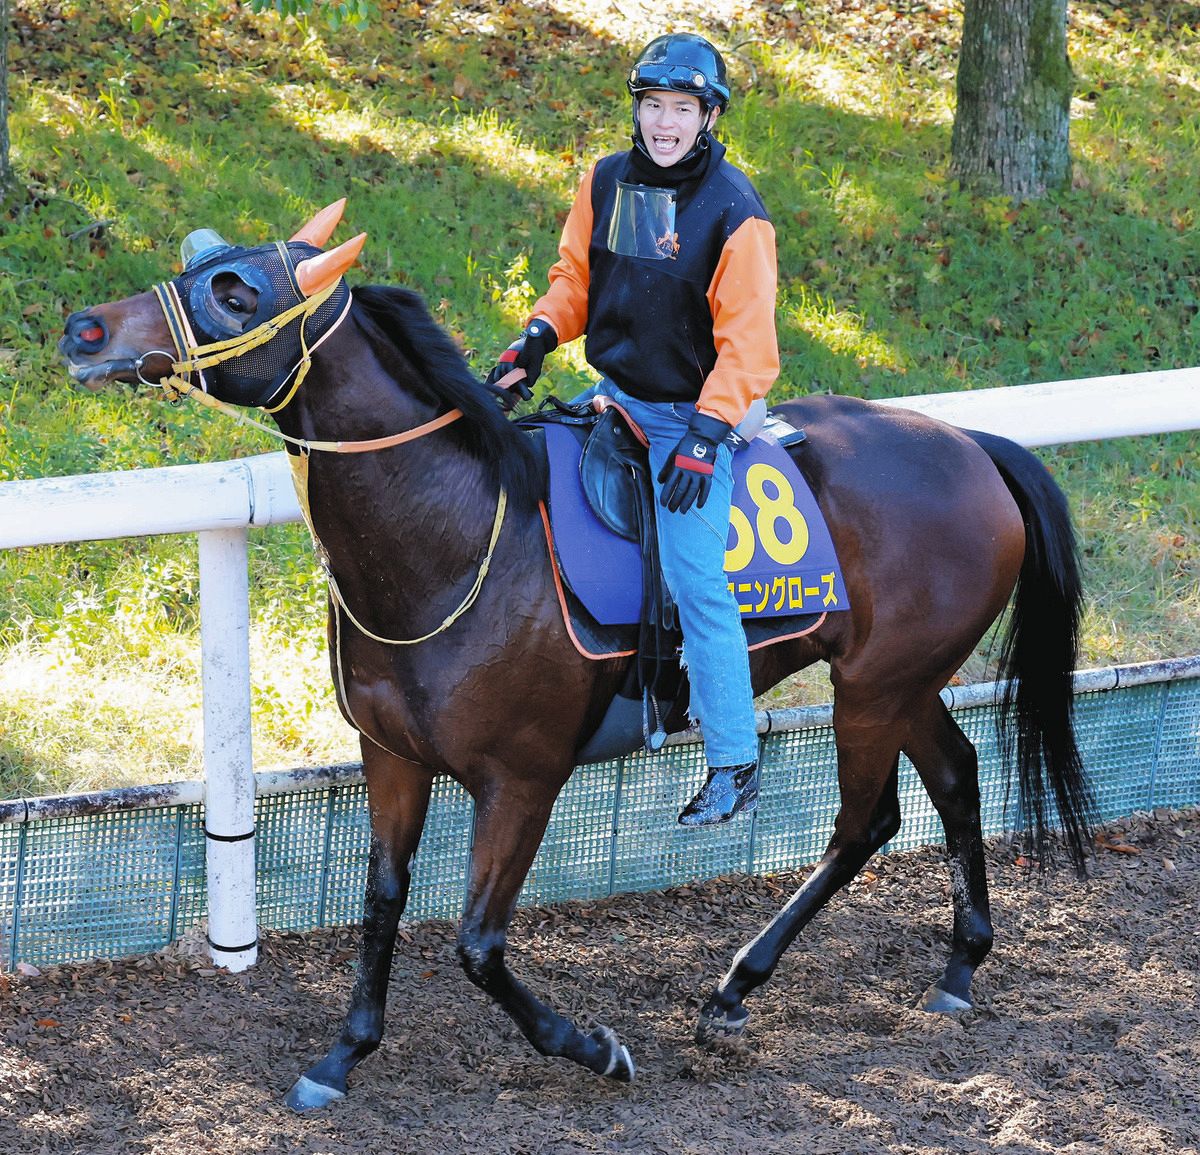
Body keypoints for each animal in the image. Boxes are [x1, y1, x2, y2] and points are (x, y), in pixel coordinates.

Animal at [58, 205, 1099, 1109]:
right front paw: (344, 1052)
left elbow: (479, 944)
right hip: (899, 680)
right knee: (953, 777)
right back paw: (954, 965)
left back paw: (738, 983)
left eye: (235, 292)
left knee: (862, 820)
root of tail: (972, 441)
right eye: (200, 260)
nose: (83, 327)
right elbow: (383, 899)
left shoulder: (524, 776)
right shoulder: (391, 755)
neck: (456, 537)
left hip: (875, 688)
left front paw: (594, 1046)